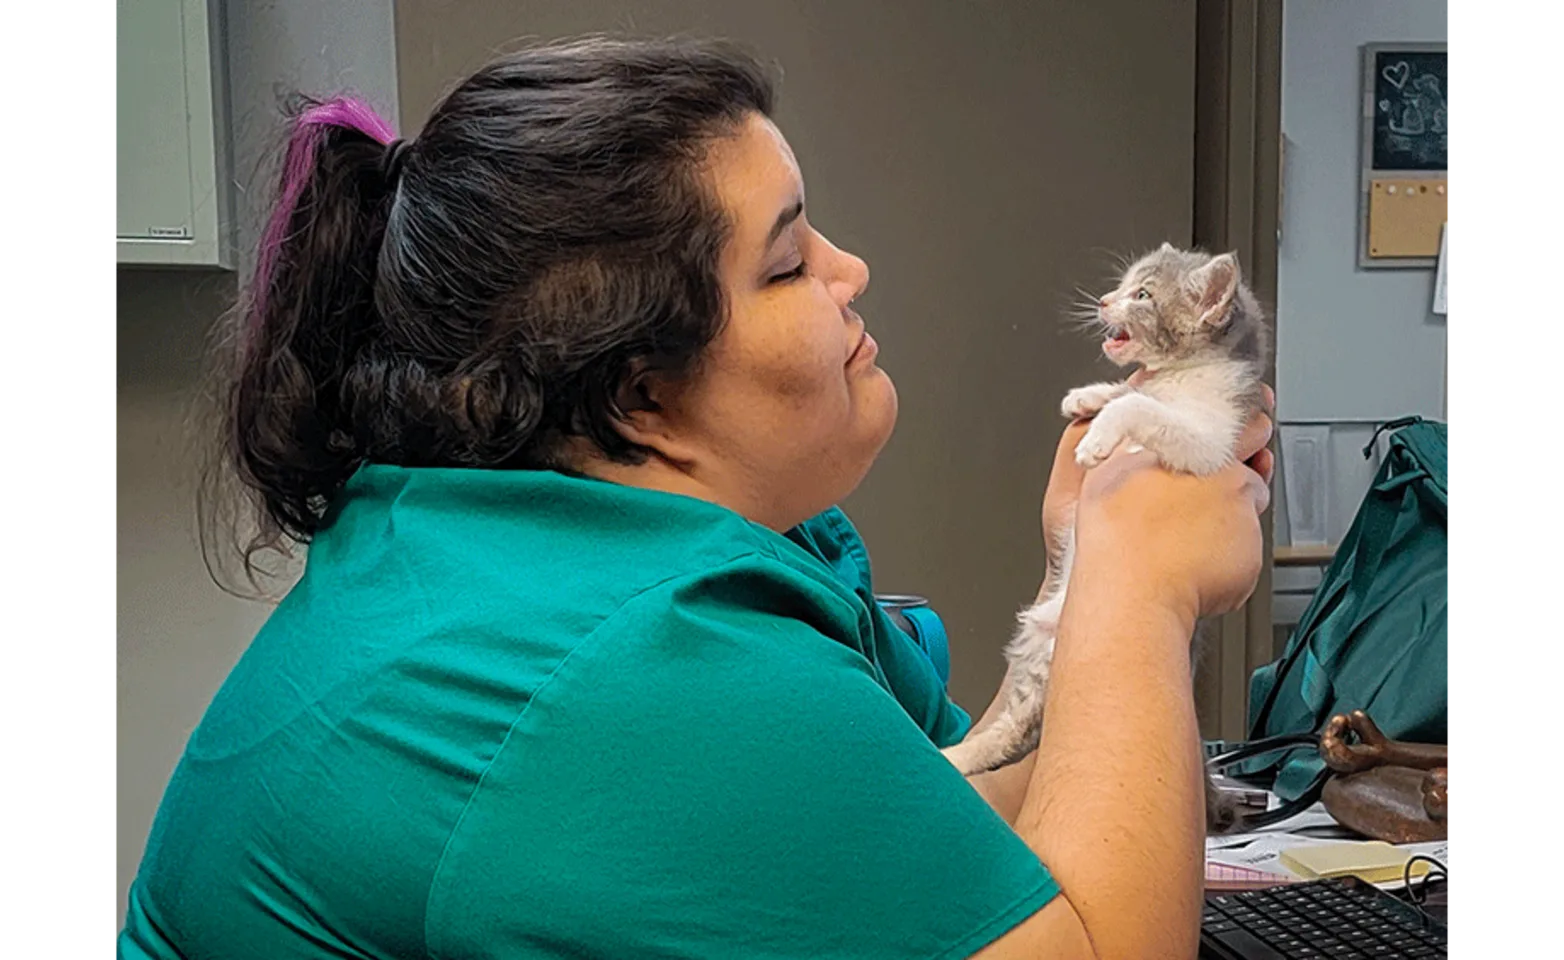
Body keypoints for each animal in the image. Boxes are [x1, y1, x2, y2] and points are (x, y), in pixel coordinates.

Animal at [938, 243, 1269, 838]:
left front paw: (1098, 435)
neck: (1184, 375)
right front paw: (1086, 397)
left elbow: (1138, 407)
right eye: (1124, 284)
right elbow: (1129, 390)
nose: (1104, 301)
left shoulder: (1212, 441)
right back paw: (961, 752)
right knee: (1016, 728)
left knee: (1021, 731)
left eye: (1143, 294)